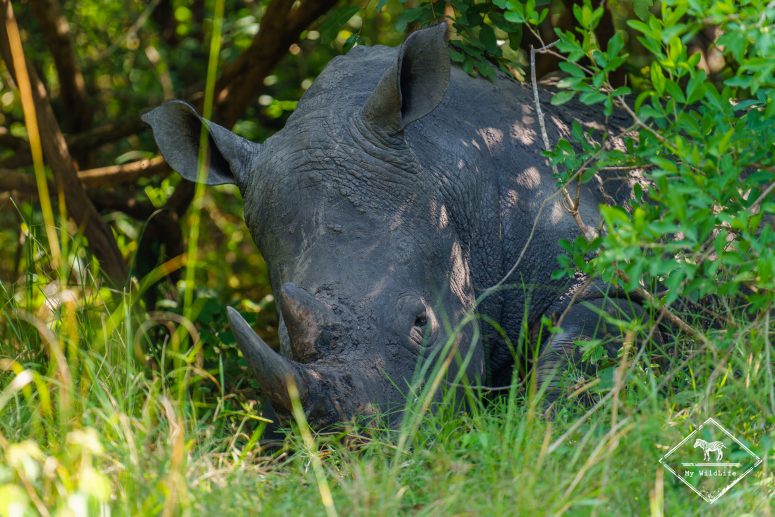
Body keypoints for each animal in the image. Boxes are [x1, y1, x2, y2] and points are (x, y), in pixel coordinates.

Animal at [142, 23, 643, 428]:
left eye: (422, 322)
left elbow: (582, 352)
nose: (355, 446)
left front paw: (549, 433)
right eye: (281, 340)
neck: (446, 172)